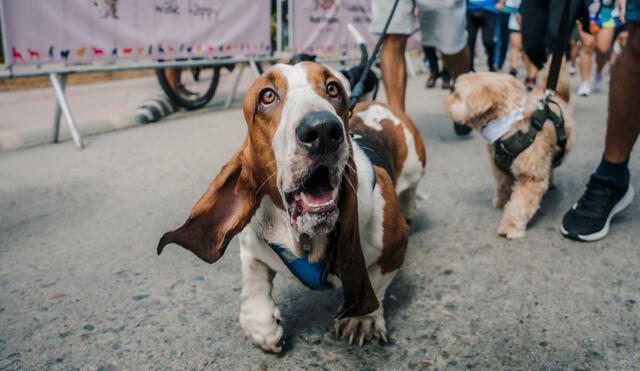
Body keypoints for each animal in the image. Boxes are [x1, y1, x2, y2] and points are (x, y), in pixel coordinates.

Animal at [157, 61, 424, 352]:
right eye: (267, 96)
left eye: (333, 88)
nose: (323, 130)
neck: (307, 241)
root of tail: (379, 105)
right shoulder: (251, 244)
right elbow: (253, 280)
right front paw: (261, 328)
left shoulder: (395, 247)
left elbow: (376, 283)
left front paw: (361, 320)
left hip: (415, 166)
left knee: (410, 189)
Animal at [444, 72, 576, 240]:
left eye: (457, 94)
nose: (445, 102)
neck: (507, 127)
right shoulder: (500, 168)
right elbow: (503, 186)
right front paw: (501, 202)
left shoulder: (530, 179)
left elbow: (519, 206)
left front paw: (510, 226)